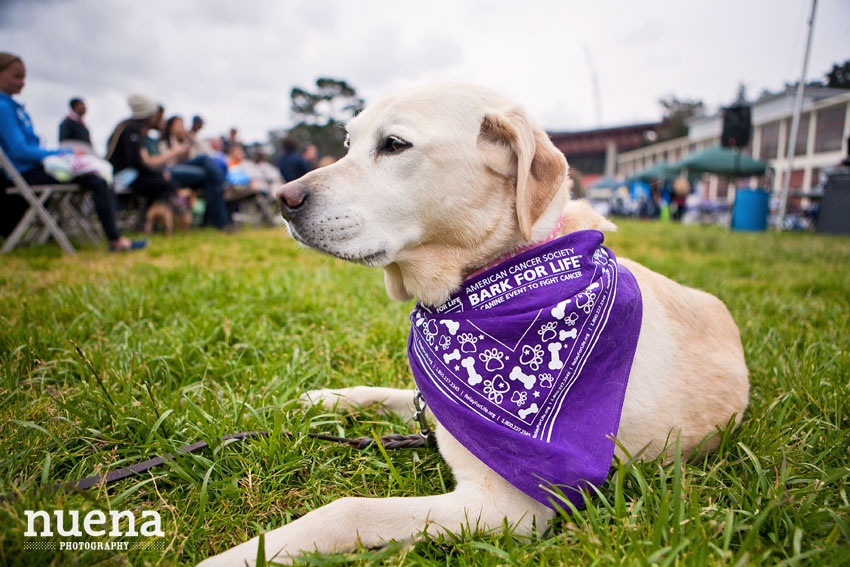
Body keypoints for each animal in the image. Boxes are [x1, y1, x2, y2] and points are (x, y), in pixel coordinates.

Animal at [200, 84, 748, 567]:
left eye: (394, 145)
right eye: (349, 144)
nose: (282, 198)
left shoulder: (505, 508)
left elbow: (345, 511)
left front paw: (240, 555)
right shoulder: (432, 405)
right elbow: (384, 392)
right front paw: (327, 398)